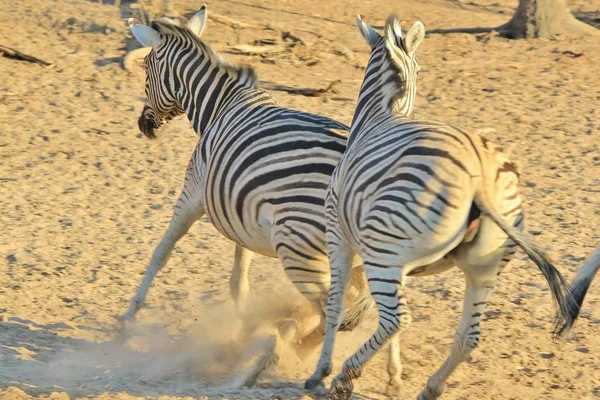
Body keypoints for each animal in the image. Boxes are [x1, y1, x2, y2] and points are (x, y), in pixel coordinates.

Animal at [122, 3, 376, 370]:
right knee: (364, 305)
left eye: (145, 68)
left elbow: (161, 252)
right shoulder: (243, 215)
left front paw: (129, 315)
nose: (144, 126)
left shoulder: (192, 196)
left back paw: (299, 348)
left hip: (297, 246)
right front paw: (242, 332)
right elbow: (238, 281)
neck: (219, 106)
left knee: (337, 308)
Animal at [304, 14, 576, 398]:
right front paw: (393, 375)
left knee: (398, 318)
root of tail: (480, 173)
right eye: (420, 67)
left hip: (384, 251)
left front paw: (321, 371)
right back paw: (430, 387)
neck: (380, 115)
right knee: (468, 335)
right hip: (482, 266)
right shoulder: (398, 258)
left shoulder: (338, 234)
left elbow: (335, 305)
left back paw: (344, 377)